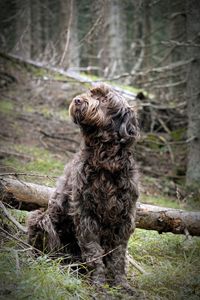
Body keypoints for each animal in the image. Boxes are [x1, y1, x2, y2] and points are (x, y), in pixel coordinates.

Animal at [27, 83, 140, 292]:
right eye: (91, 92)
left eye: (104, 99)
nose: (78, 100)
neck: (105, 161)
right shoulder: (85, 213)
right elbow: (94, 251)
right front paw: (99, 282)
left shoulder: (124, 217)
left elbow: (118, 255)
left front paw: (121, 283)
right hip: (41, 219)